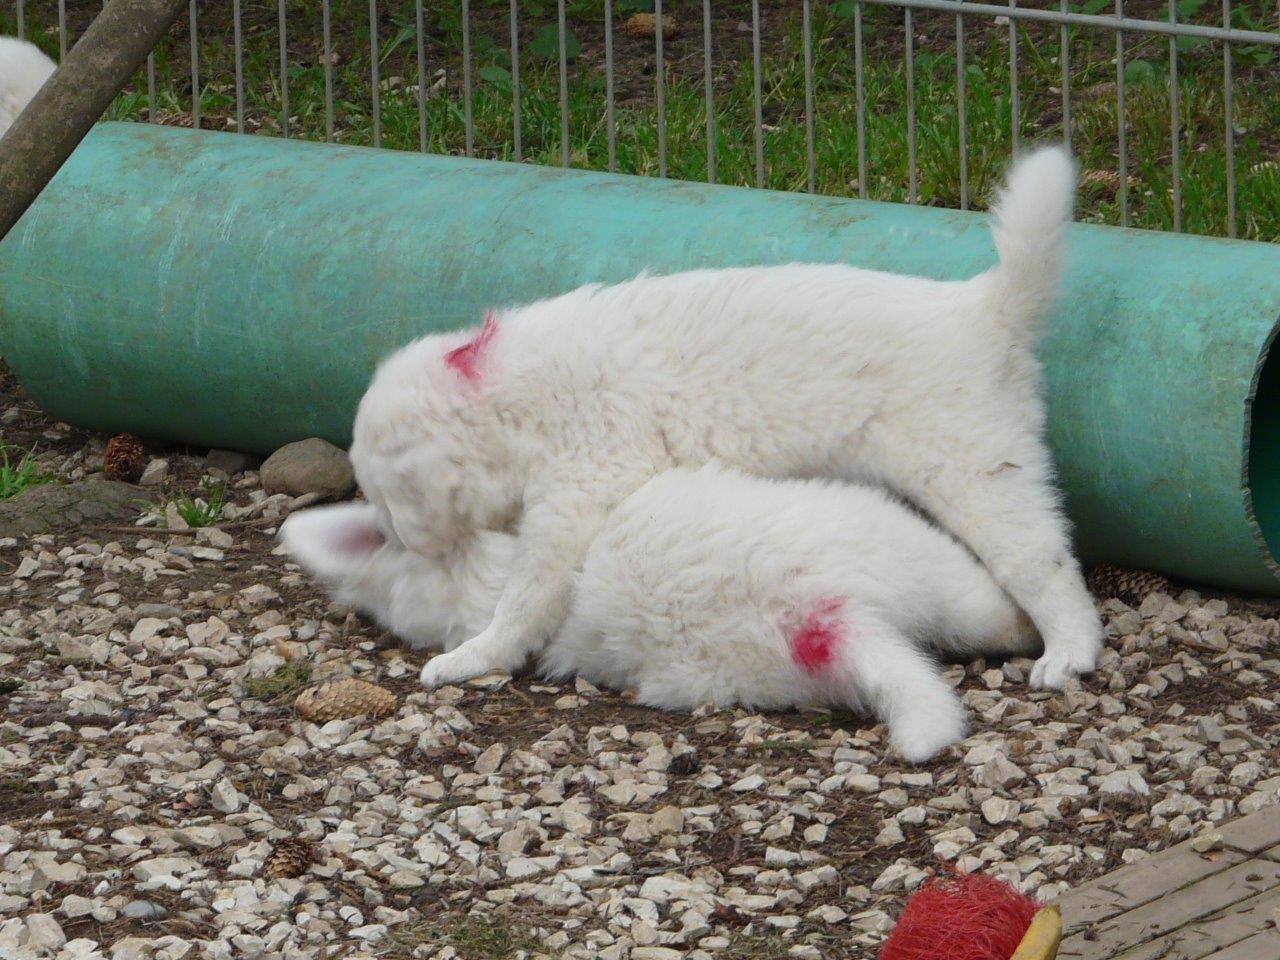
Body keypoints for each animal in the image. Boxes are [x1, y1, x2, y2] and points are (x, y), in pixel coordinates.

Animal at [349, 145, 1097, 692]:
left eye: (387, 498)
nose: (392, 539)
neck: (516, 400)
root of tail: (982, 305)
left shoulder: (583, 484)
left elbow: (528, 593)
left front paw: (471, 656)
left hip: (974, 465)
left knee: (1043, 560)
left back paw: (1069, 652)